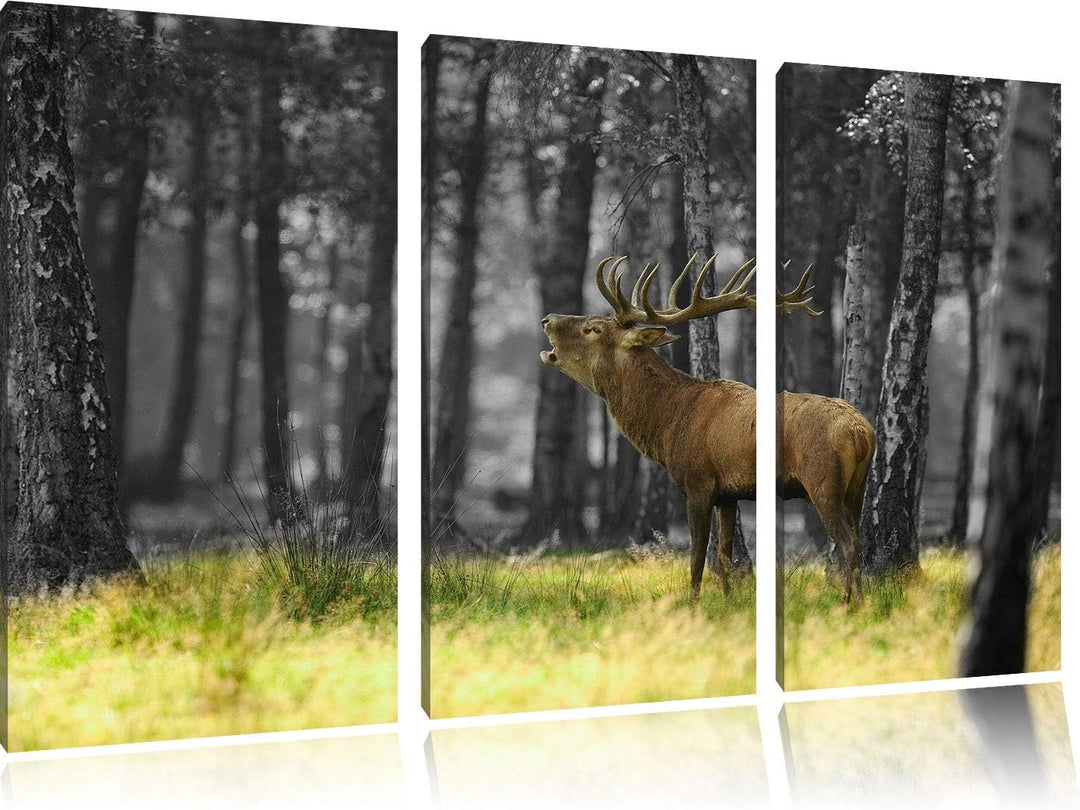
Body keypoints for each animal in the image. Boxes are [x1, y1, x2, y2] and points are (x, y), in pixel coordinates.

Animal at [540, 255, 875, 602]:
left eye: (593, 329)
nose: (547, 319)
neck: (668, 423)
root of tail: (862, 433)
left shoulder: (697, 482)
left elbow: (697, 557)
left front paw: (693, 604)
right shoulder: (729, 494)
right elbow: (724, 554)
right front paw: (727, 600)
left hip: (823, 481)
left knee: (848, 542)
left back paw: (850, 603)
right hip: (857, 488)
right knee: (859, 538)